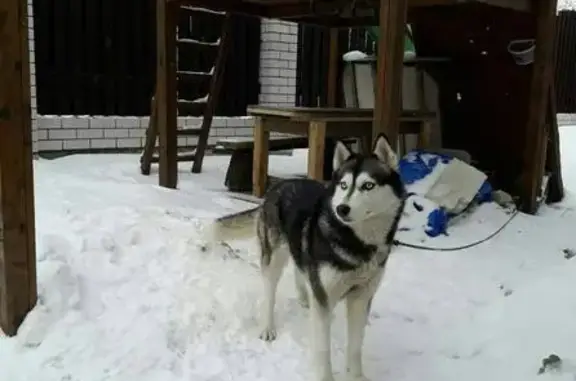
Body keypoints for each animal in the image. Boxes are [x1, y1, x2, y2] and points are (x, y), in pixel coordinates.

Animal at [210, 134, 404, 380]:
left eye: (368, 185)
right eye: (343, 185)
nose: (342, 209)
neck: (356, 244)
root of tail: (277, 186)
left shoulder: (361, 297)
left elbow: (355, 347)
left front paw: (356, 377)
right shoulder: (324, 299)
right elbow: (323, 348)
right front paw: (325, 377)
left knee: (300, 266)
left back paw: (304, 297)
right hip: (273, 259)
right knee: (270, 293)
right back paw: (268, 327)